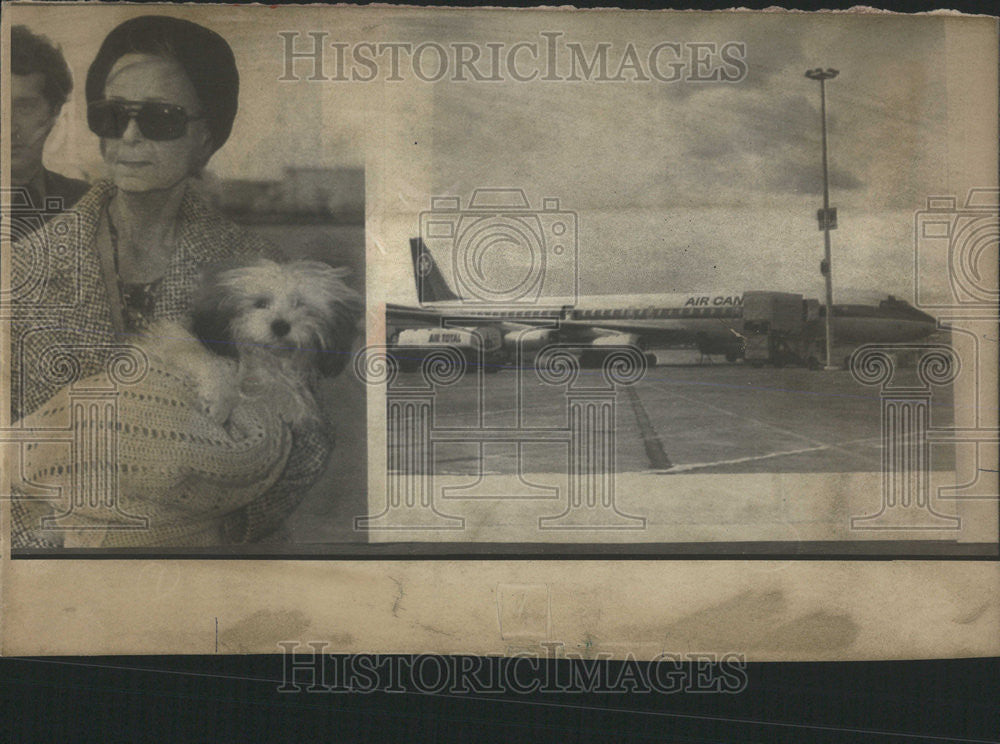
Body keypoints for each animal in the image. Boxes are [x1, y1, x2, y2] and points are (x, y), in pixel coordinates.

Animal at [150, 258, 362, 428]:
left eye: (299, 305)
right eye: (260, 303)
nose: (281, 326)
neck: (258, 359)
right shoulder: (177, 342)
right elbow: (214, 363)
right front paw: (219, 398)